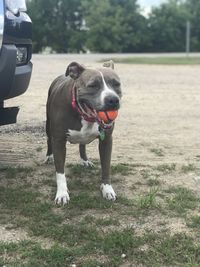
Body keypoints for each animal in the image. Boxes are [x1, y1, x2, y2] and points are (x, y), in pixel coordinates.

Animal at [45, 61, 122, 205]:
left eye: (116, 84)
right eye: (93, 85)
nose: (113, 100)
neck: (84, 113)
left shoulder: (106, 140)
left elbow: (106, 167)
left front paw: (107, 189)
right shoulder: (58, 141)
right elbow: (60, 172)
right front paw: (62, 193)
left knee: (82, 144)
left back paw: (85, 160)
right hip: (48, 125)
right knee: (48, 140)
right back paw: (48, 156)